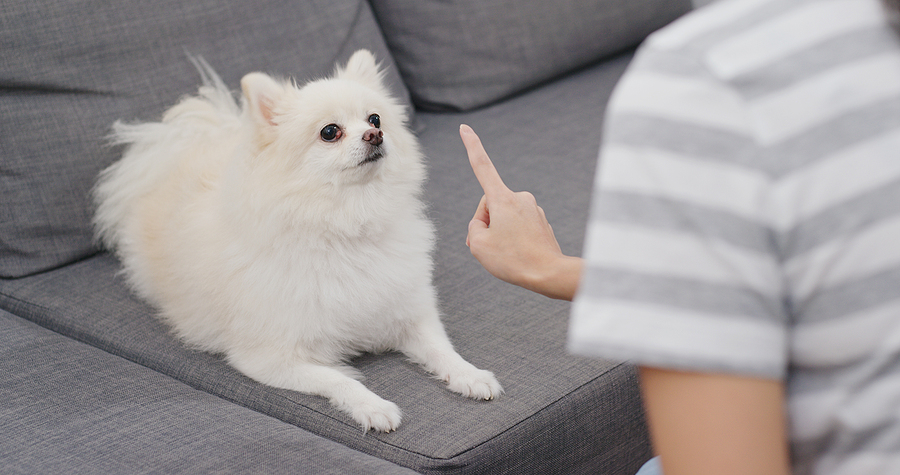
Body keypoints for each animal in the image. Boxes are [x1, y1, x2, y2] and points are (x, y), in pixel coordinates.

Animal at [94, 50, 502, 434]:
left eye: (375, 119)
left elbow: (441, 349)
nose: (375, 135)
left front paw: (470, 375)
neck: (346, 225)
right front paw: (372, 406)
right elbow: (337, 379)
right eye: (330, 132)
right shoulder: (267, 359)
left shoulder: (410, 314)